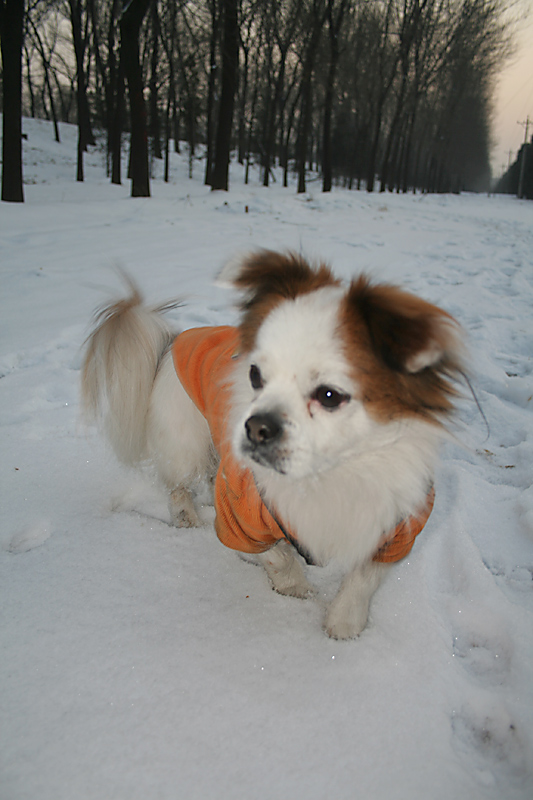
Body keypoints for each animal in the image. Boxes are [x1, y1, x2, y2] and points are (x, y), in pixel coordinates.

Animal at [81, 253, 464, 640]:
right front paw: (295, 590)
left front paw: (344, 624)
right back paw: (188, 519)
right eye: (255, 376)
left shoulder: (397, 528)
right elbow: (275, 555)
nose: (255, 427)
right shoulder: (242, 517)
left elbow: (363, 578)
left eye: (329, 395)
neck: (328, 476)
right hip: (183, 443)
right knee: (178, 486)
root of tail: (175, 339)